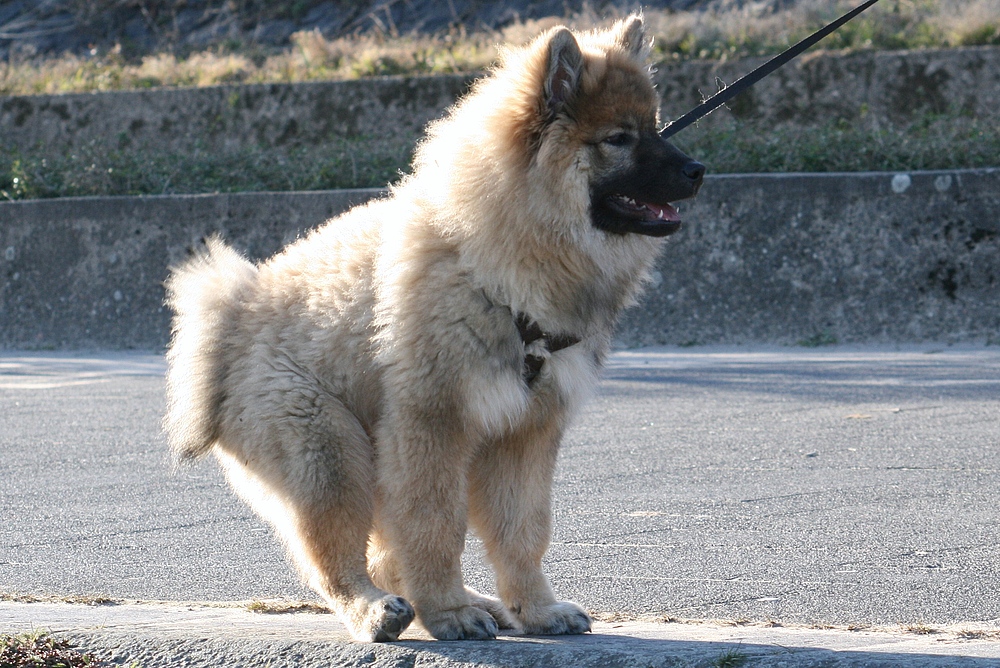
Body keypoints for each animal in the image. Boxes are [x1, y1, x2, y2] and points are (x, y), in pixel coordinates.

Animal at [164, 15, 704, 640]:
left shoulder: (525, 432)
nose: (698, 170)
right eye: (620, 138)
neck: (498, 265)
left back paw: (476, 604)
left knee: (382, 554)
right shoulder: (432, 423)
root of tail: (232, 315)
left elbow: (523, 533)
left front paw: (535, 609)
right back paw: (376, 610)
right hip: (330, 453)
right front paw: (447, 613)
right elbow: (435, 527)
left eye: (657, 128)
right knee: (338, 559)